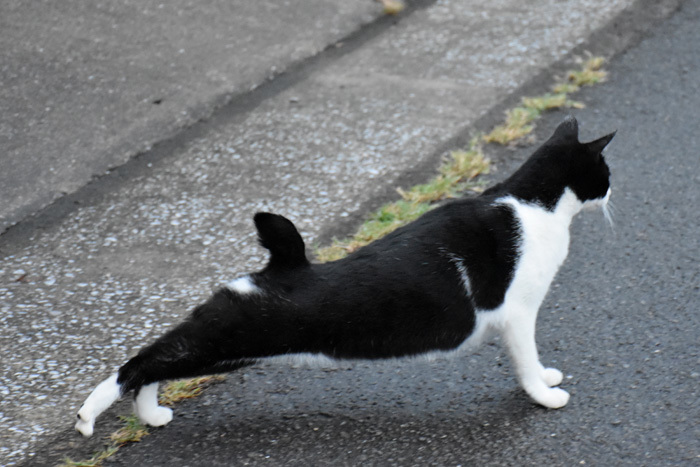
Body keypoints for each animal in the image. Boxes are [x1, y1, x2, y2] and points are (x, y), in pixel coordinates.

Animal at [75, 117, 612, 438]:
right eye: (605, 172)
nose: (613, 191)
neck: (532, 202)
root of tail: (282, 268)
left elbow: (529, 362)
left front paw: (546, 378)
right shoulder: (519, 314)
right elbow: (526, 361)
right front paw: (545, 394)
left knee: (155, 365)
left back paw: (150, 414)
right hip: (223, 335)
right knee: (141, 363)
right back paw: (88, 416)